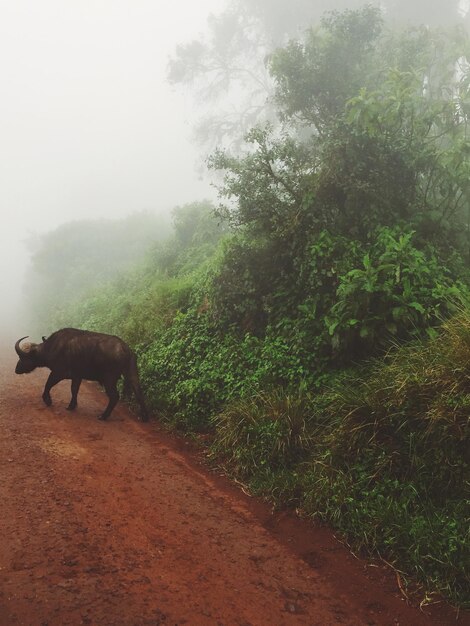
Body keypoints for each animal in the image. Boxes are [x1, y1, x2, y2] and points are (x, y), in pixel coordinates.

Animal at [13, 326, 149, 420]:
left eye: (23, 357)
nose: (16, 369)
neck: (51, 348)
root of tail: (125, 349)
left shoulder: (58, 373)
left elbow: (48, 384)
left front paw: (48, 400)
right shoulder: (77, 376)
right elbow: (74, 390)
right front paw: (71, 406)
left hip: (109, 379)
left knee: (115, 396)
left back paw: (103, 416)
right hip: (132, 373)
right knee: (139, 392)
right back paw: (144, 417)